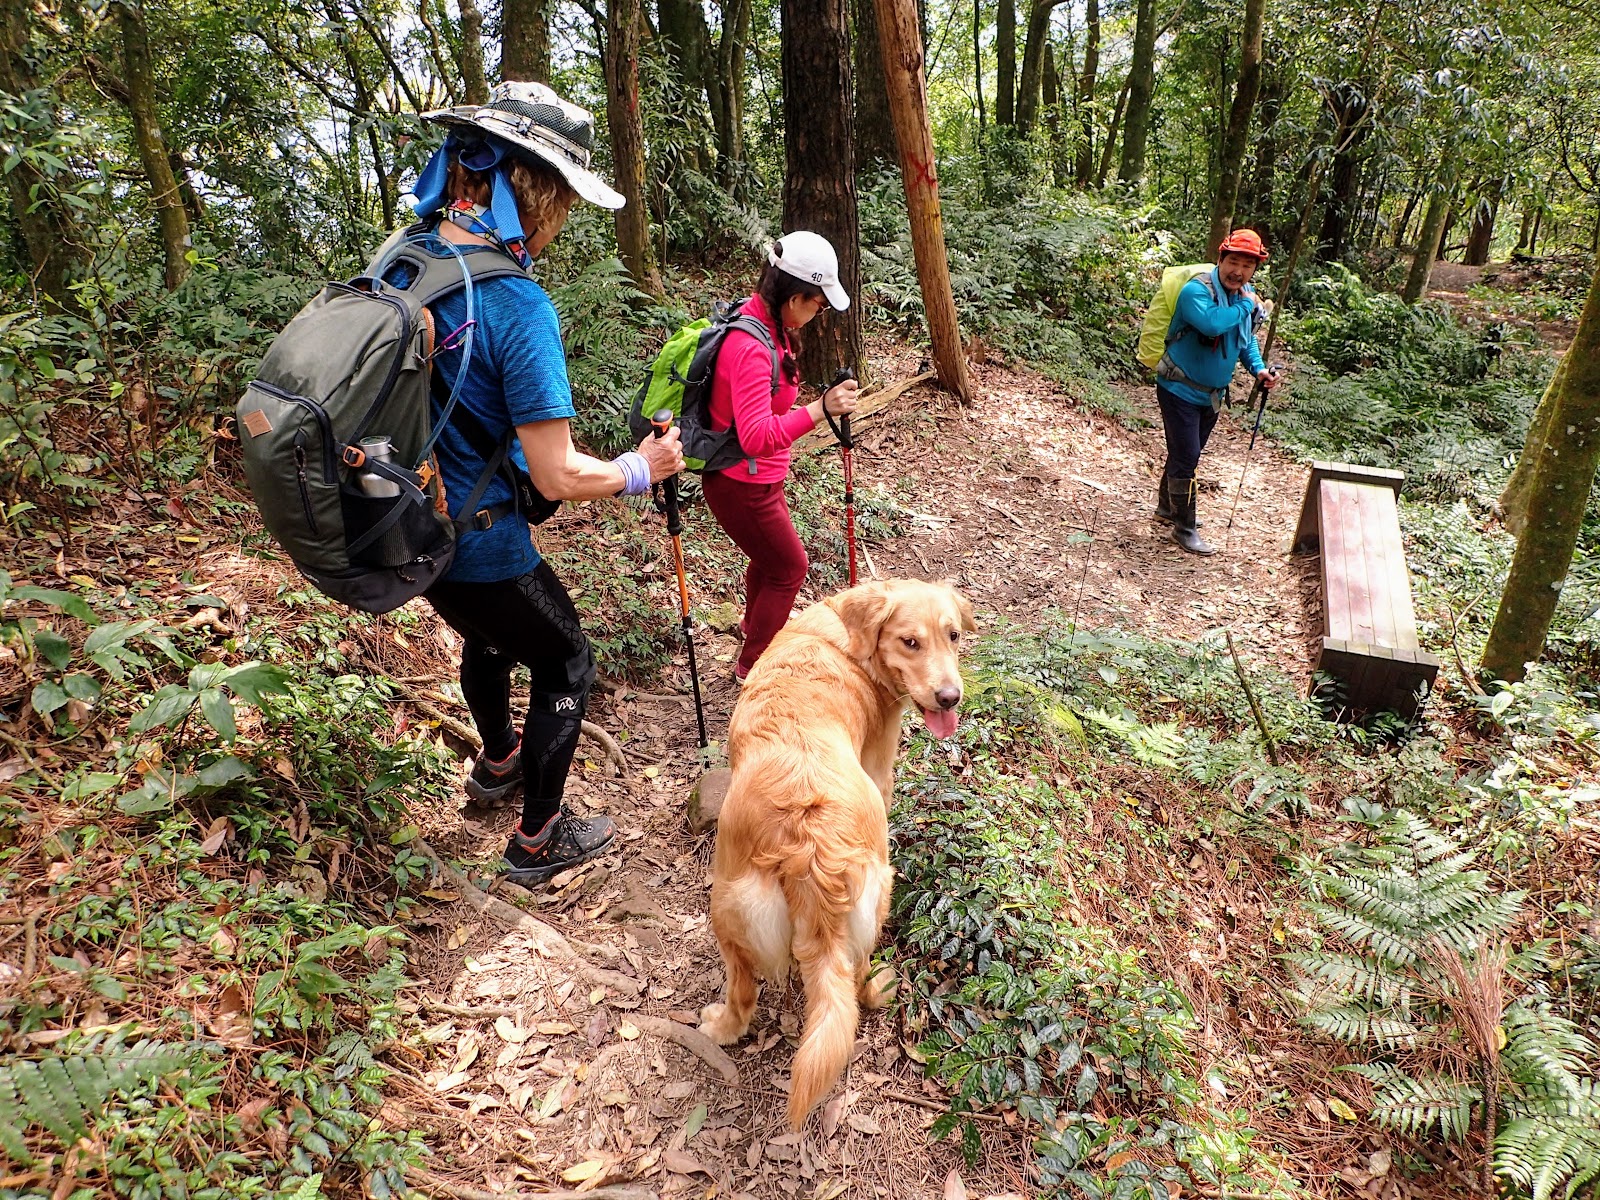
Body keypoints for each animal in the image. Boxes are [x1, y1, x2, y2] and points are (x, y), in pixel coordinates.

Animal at [698, 578, 976, 1128]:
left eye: (953, 635)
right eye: (910, 642)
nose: (949, 697)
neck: (847, 637)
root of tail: (810, 847)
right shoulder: (881, 766)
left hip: (730, 908)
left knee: (747, 991)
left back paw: (723, 1027)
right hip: (873, 894)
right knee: (853, 980)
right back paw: (878, 989)